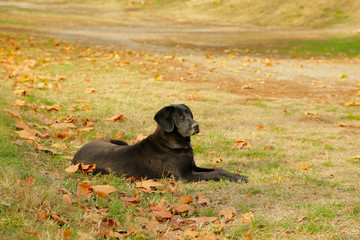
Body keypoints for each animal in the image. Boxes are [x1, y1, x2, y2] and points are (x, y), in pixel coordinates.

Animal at [73, 104, 248, 183]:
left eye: (189, 114)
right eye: (179, 116)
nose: (196, 126)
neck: (172, 143)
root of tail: (74, 158)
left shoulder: (193, 167)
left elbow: (218, 169)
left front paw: (237, 175)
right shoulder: (186, 176)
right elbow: (214, 174)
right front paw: (237, 178)